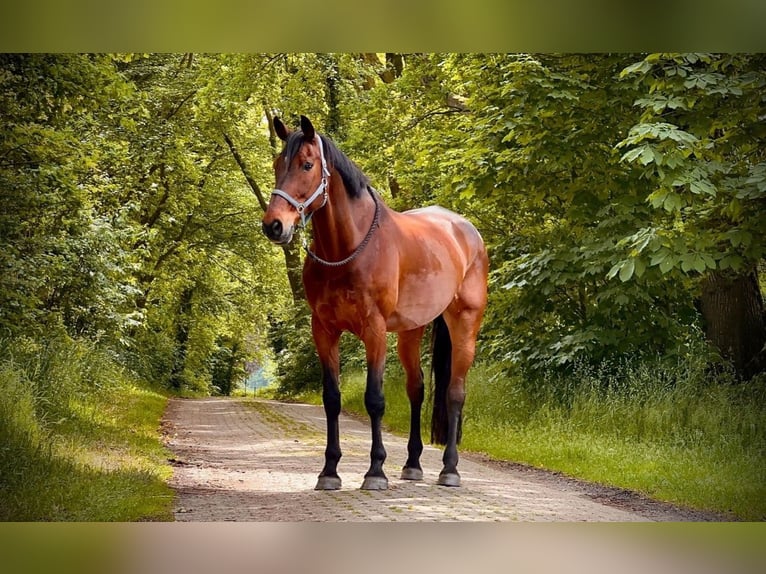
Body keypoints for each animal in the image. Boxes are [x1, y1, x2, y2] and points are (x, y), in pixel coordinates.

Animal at [262, 115, 488, 490]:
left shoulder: (375, 330)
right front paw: (329, 471)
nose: (274, 226)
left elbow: (375, 399)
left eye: (307, 164)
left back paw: (450, 469)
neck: (348, 249)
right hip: (412, 331)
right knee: (417, 390)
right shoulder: (323, 330)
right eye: (278, 165)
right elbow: (332, 398)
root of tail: (467, 231)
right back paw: (412, 464)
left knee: (455, 393)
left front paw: (375, 470)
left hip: (464, 324)